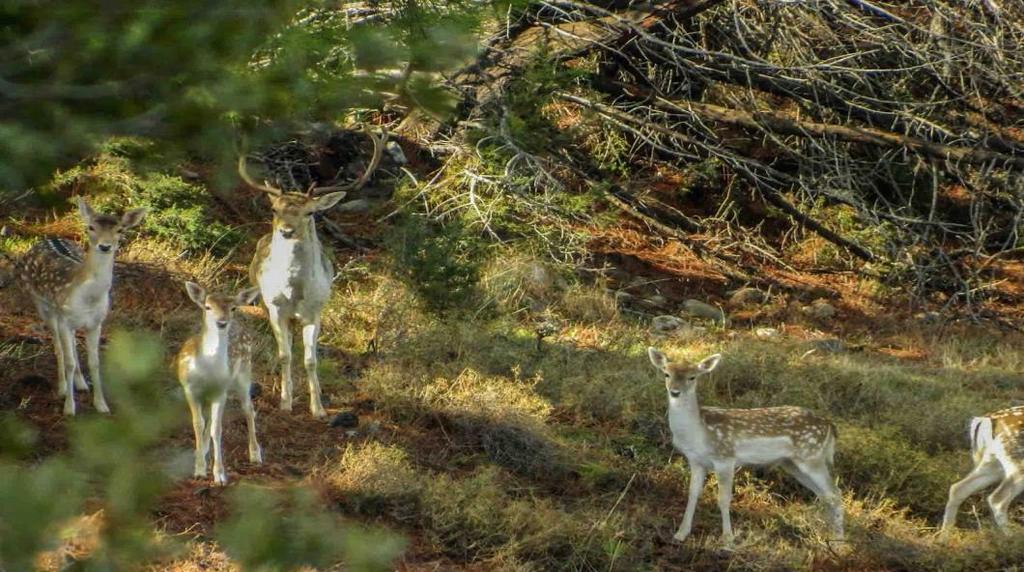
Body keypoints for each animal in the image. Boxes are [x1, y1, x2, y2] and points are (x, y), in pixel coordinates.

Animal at [13, 199, 146, 413]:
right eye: (91, 227)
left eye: (120, 230)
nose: (105, 246)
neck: (88, 298)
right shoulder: (64, 320)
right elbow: (68, 361)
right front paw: (69, 407)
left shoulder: (96, 323)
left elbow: (94, 362)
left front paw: (101, 404)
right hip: (42, 306)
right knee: (58, 346)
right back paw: (62, 388)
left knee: (73, 346)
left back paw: (81, 383)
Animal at [174, 280, 260, 482]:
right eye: (207, 307)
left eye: (233, 307)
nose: (222, 322)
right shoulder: (190, 389)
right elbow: (198, 424)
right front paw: (199, 469)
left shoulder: (220, 392)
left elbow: (217, 429)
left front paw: (219, 474)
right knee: (208, 419)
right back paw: (202, 450)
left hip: (244, 372)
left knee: (248, 409)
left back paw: (255, 454)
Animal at [239, 125, 387, 419]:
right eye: (274, 208)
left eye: (309, 212)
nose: (286, 230)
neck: (295, 291)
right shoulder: (275, 307)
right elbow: (285, 355)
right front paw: (285, 402)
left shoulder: (315, 311)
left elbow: (310, 359)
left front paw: (317, 408)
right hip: (265, 304)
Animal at [643, 347, 843, 544]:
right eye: (666, 373)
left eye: (692, 377)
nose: (675, 392)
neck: (698, 434)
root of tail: (830, 426)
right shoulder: (696, 461)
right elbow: (692, 494)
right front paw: (680, 533)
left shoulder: (725, 457)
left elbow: (723, 499)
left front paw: (727, 539)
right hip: (792, 464)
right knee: (824, 495)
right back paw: (828, 535)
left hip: (811, 456)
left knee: (835, 493)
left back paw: (838, 542)